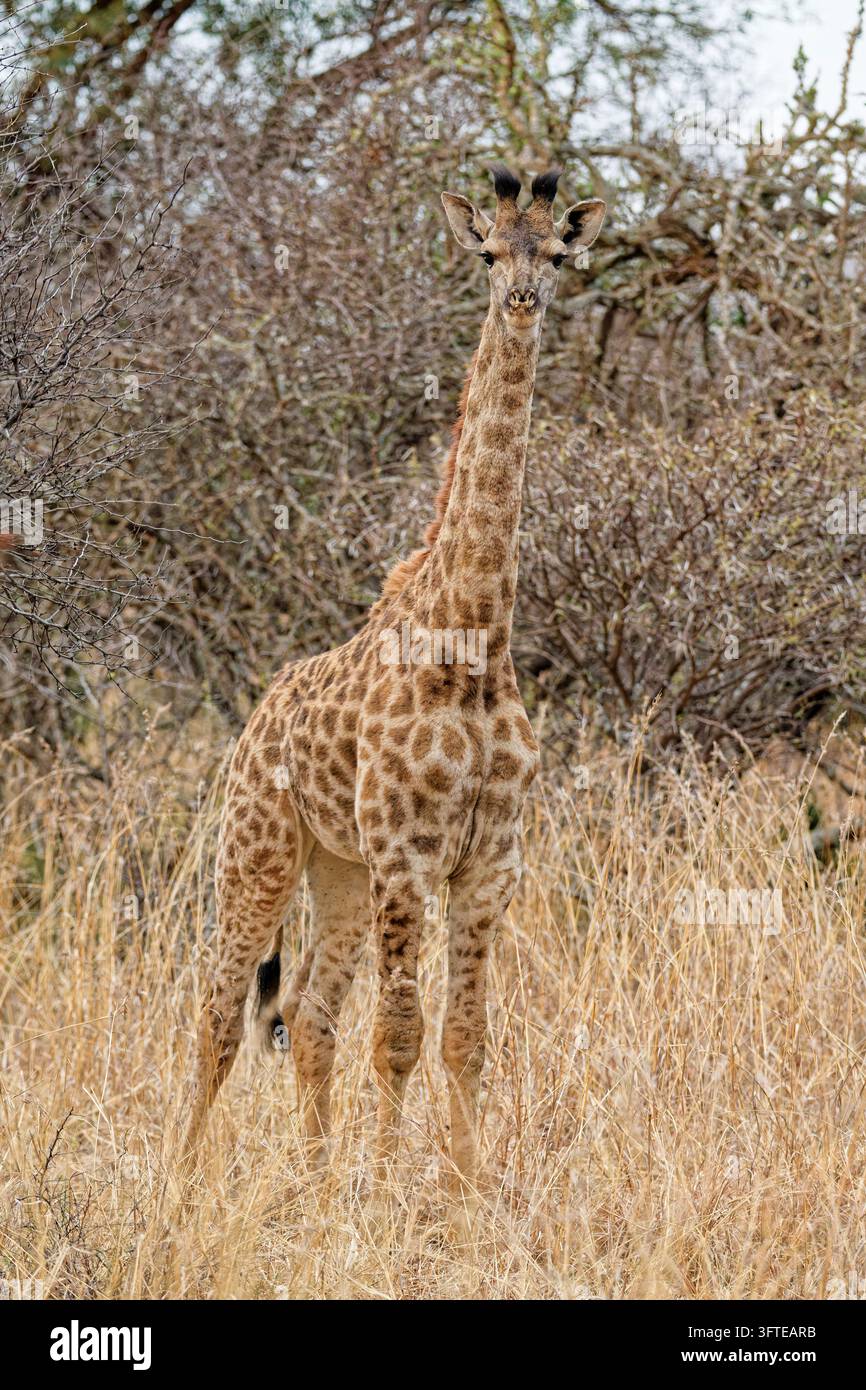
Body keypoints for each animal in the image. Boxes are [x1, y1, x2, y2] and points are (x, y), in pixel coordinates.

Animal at [181, 165, 605, 1208]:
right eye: (487, 254)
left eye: (558, 254)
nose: (522, 301)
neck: (476, 637)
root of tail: (256, 717)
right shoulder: (410, 857)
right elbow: (403, 1036)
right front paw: (388, 1193)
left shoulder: (491, 861)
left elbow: (467, 1040)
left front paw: (461, 1193)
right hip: (258, 848)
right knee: (218, 1013)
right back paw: (180, 1187)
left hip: (336, 870)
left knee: (308, 1012)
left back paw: (313, 1179)